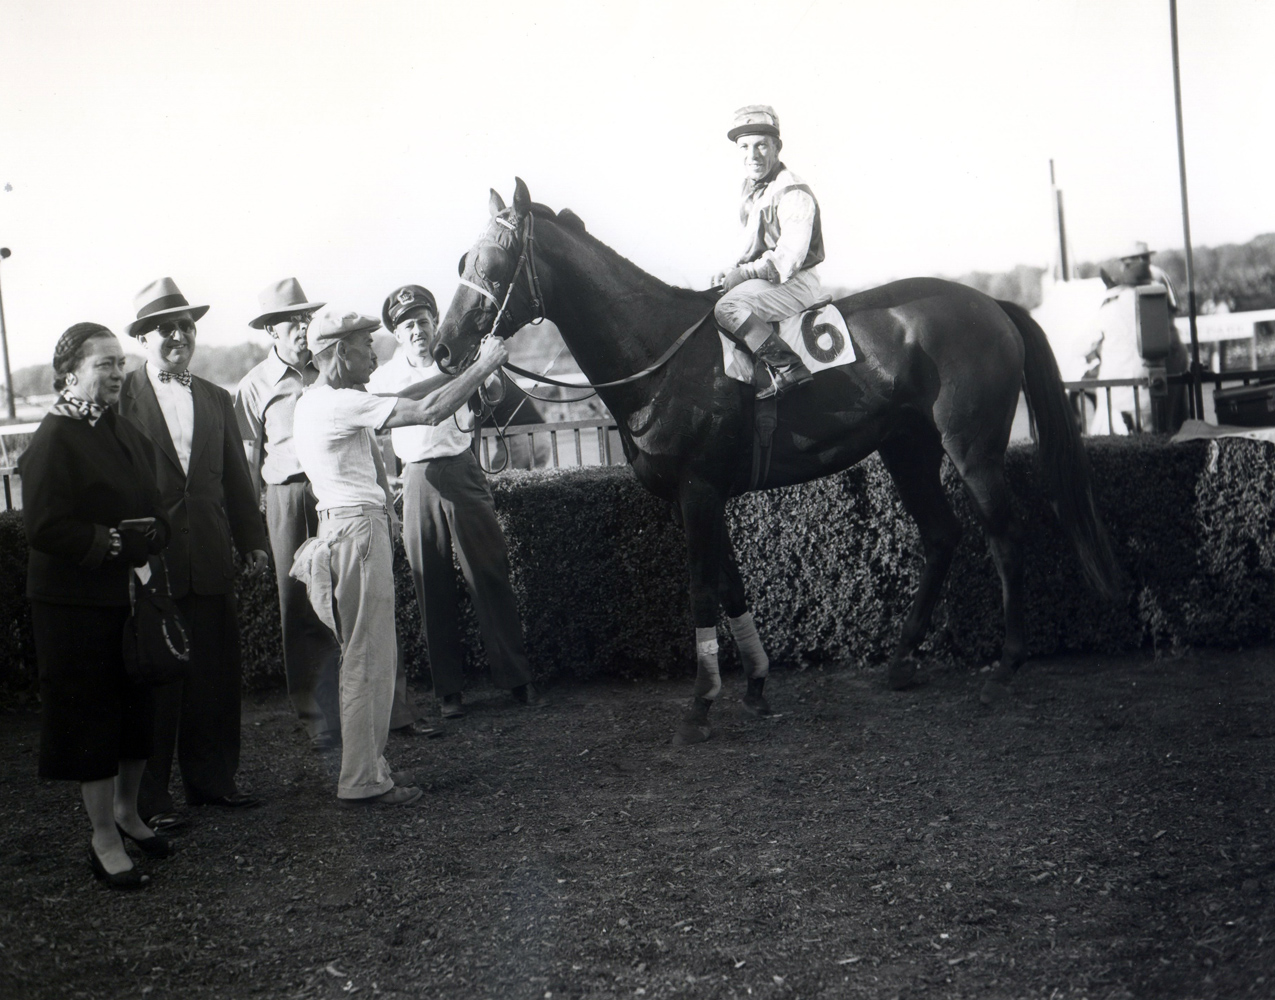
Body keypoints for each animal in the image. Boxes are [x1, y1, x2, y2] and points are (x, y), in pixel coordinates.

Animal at [433, 179, 1122, 739]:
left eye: (492, 262)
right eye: (463, 259)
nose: (443, 347)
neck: (659, 357)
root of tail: (992, 305)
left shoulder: (698, 491)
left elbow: (702, 587)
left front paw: (701, 703)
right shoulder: (702, 494)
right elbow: (732, 584)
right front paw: (758, 683)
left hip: (972, 449)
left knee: (1005, 534)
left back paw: (1005, 666)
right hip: (908, 448)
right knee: (941, 535)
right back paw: (902, 660)